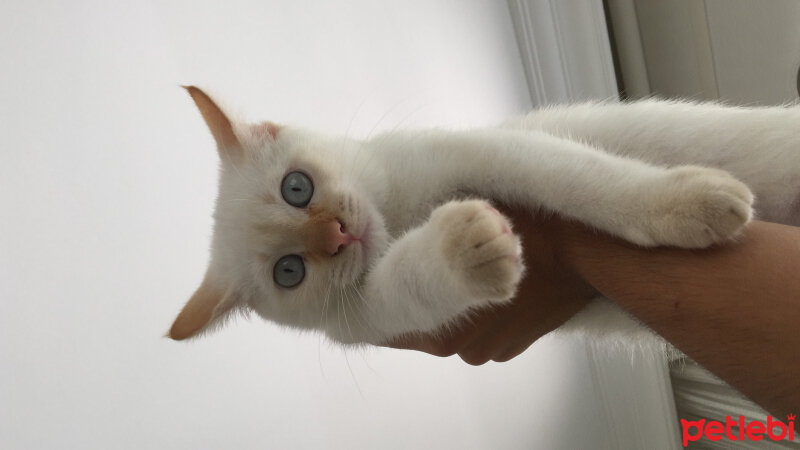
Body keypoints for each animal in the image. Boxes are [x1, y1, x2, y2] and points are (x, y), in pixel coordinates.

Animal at [166, 89, 796, 348]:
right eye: (290, 272)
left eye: (296, 188)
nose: (339, 235)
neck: (399, 214)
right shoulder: (374, 317)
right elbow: (410, 282)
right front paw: (463, 250)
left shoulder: (485, 152)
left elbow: (583, 178)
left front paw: (683, 203)